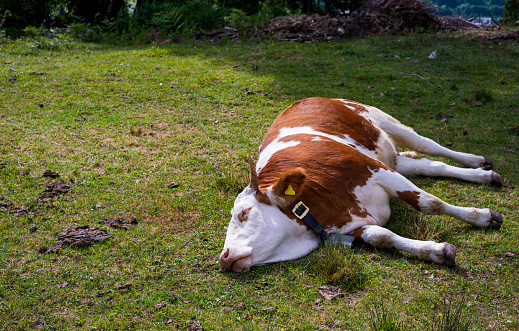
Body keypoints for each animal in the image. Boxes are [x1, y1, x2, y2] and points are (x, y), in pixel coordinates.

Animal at [219, 98, 504, 272]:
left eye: (244, 213)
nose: (224, 257)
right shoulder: (350, 226)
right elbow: (381, 236)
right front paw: (434, 251)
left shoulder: (377, 170)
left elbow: (430, 203)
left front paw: (482, 217)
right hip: (395, 158)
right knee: (430, 165)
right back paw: (484, 175)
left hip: (387, 123)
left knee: (431, 146)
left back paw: (478, 161)